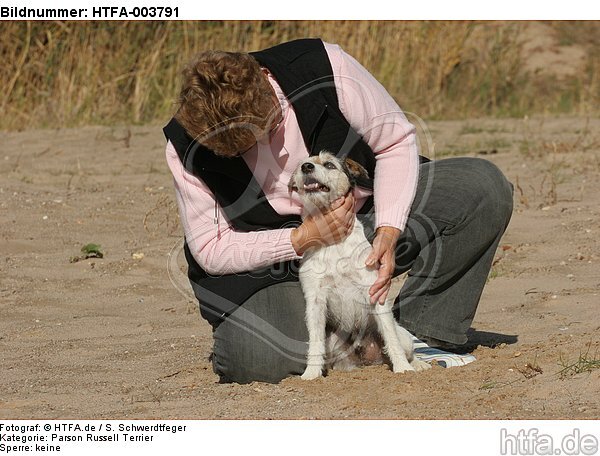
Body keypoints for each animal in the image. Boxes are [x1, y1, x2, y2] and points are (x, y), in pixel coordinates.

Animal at [290, 151, 432, 380]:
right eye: (302, 164)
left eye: (329, 164)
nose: (306, 167)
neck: (334, 243)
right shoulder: (315, 300)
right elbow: (315, 342)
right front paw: (311, 374)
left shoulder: (374, 292)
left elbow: (391, 339)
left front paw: (403, 369)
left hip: (403, 335)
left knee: (404, 346)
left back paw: (418, 365)